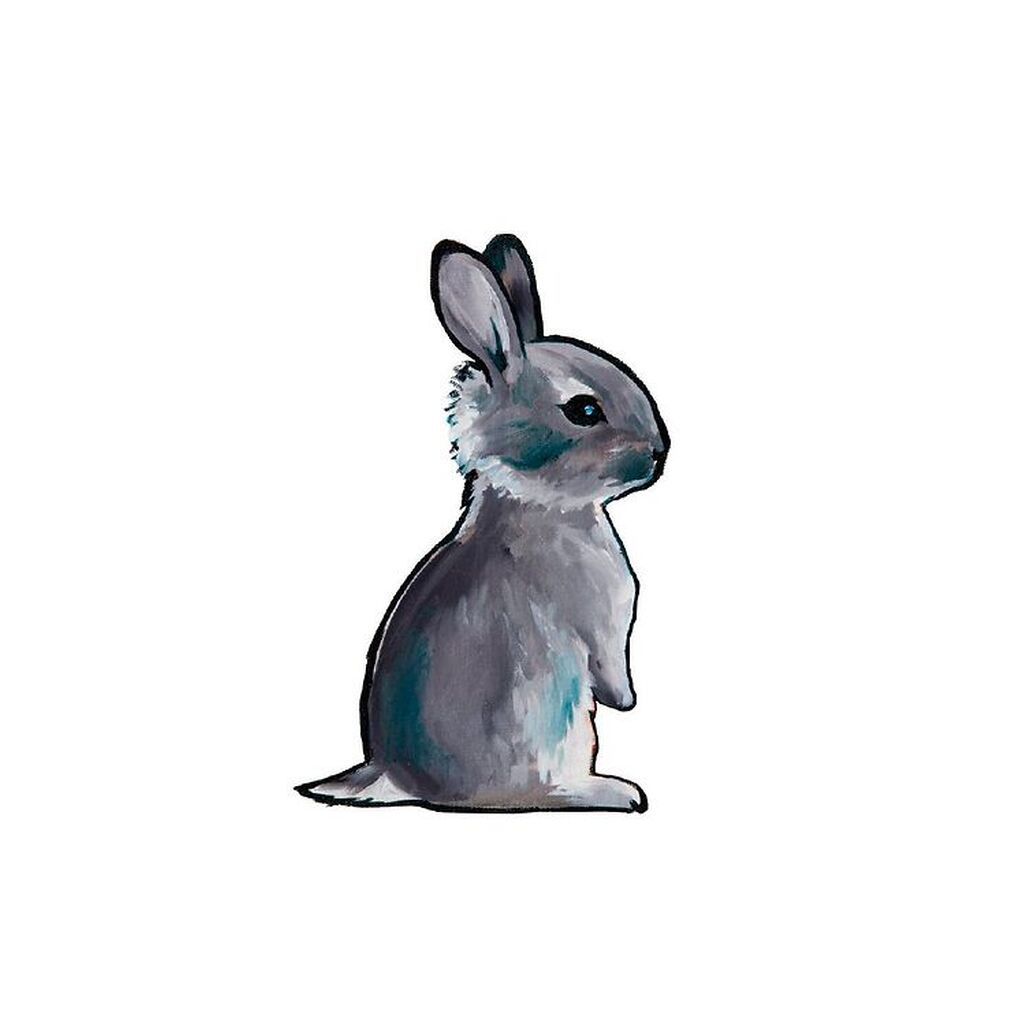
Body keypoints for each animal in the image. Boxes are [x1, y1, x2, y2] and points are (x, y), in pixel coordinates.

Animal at [296, 234, 669, 812]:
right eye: (584, 410)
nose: (659, 453)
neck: (540, 506)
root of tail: (399, 778)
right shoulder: (601, 618)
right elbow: (610, 664)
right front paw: (628, 701)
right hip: (546, 729)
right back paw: (613, 791)